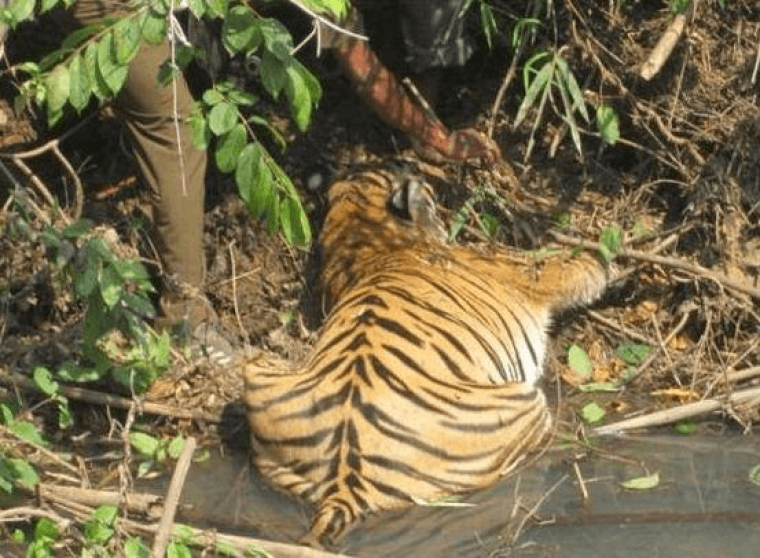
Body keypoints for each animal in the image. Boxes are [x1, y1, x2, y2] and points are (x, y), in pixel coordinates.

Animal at [243, 165, 612, 548]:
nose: (417, 170)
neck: (358, 230)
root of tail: (344, 485)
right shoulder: (522, 269)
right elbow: (572, 265)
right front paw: (604, 254)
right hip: (522, 403)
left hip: (259, 373)